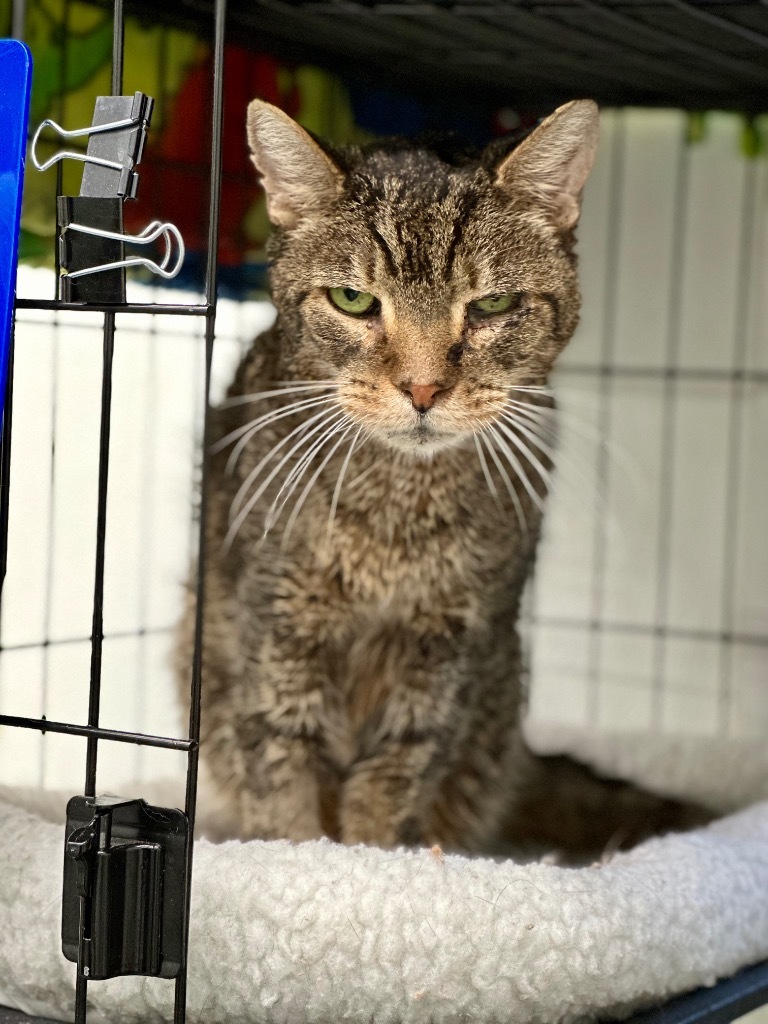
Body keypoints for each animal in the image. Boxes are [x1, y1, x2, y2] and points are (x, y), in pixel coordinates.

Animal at [182, 96, 708, 851]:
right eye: (352, 300)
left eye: (492, 306)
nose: (423, 389)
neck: (398, 513)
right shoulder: (276, 629)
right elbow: (282, 776)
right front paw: (296, 855)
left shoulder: (448, 648)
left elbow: (393, 779)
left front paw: (374, 862)